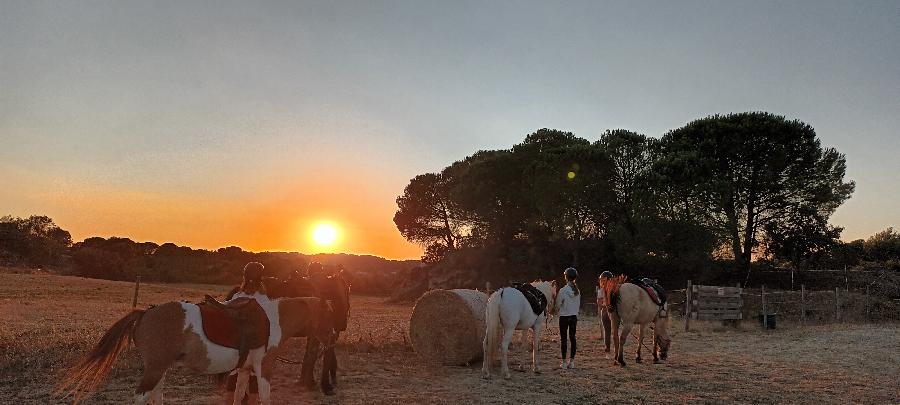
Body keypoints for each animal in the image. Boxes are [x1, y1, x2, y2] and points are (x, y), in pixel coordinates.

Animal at [58, 292, 336, 402]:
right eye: (328, 315)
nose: (332, 338)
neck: (273, 320)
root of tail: (145, 313)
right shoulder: (264, 367)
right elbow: (265, 397)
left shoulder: (245, 369)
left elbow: (239, 395)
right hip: (156, 368)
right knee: (142, 396)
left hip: (158, 368)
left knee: (155, 395)